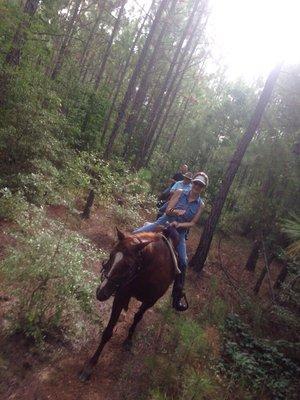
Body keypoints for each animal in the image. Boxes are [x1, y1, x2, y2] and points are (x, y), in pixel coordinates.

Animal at [78, 227, 179, 380]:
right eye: (111, 255)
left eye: (129, 265)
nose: (101, 292)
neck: (147, 270)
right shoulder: (121, 296)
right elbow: (107, 332)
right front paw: (90, 366)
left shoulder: (150, 301)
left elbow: (137, 317)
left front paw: (129, 340)